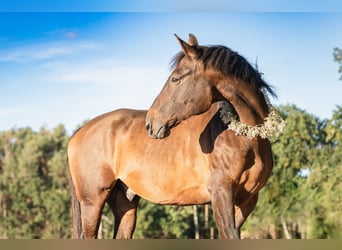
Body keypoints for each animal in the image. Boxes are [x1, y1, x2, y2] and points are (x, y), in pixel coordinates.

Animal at [68, 33, 276, 238]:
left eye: (175, 79)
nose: (150, 124)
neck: (246, 137)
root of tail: (77, 134)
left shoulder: (247, 201)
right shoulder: (221, 194)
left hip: (125, 205)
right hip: (92, 202)